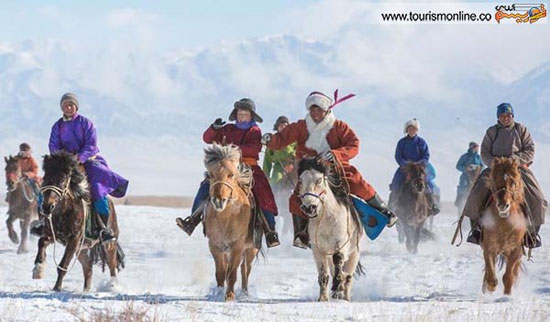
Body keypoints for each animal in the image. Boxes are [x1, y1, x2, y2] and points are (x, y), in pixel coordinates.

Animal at [32, 152, 125, 294]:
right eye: (45, 178)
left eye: (62, 180)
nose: (47, 207)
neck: (64, 211)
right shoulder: (51, 234)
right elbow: (41, 242)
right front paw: (38, 269)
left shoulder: (74, 239)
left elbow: (63, 265)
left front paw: (57, 288)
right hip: (81, 250)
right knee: (88, 267)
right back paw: (86, 290)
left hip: (109, 243)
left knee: (112, 264)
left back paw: (112, 286)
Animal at [204, 143, 260, 302]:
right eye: (211, 174)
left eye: (231, 174)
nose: (218, 200)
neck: (226, 217)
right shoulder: (215, 246)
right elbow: (221, 273)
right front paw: (218, 293)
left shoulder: (237, 246)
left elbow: (232, 273)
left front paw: (229, 296)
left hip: (251, 249)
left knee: (245, 270)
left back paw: (245, 292)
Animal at [300, 158, 364, 302]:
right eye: (300, 181)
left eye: (319, 180)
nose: (309, 207)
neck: (326, 220)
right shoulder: (318, 250)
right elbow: (323, 274)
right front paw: (323, 298)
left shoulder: (341, 244)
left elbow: (338, 260)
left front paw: (338, 285)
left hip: (354, 254)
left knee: (349, 277)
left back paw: (344, 296)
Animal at [486, 157, 528, 296]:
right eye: (495, 179)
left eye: (513, 182)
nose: (503, 205)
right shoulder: (488, 247)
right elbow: (491, 277)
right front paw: (489, 291)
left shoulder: (516, 249)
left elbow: (508, 277)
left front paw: (507, 295)